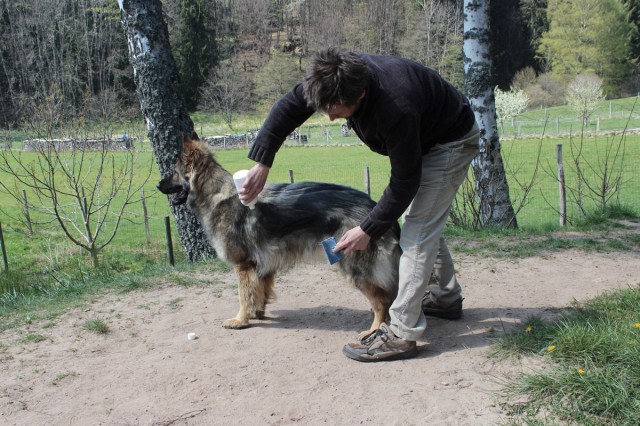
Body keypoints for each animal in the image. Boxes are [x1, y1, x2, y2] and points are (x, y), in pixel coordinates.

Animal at [158, 136, 400, 336]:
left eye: (174, 171)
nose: (158, 185)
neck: (216, 194)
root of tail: (372, 207)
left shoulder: (243, 265)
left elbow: (243, 295)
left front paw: (240, 320)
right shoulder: (262, 266)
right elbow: (259, 291)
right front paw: (257, 313)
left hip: (353, 264)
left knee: (383, 300)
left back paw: (374, 330)